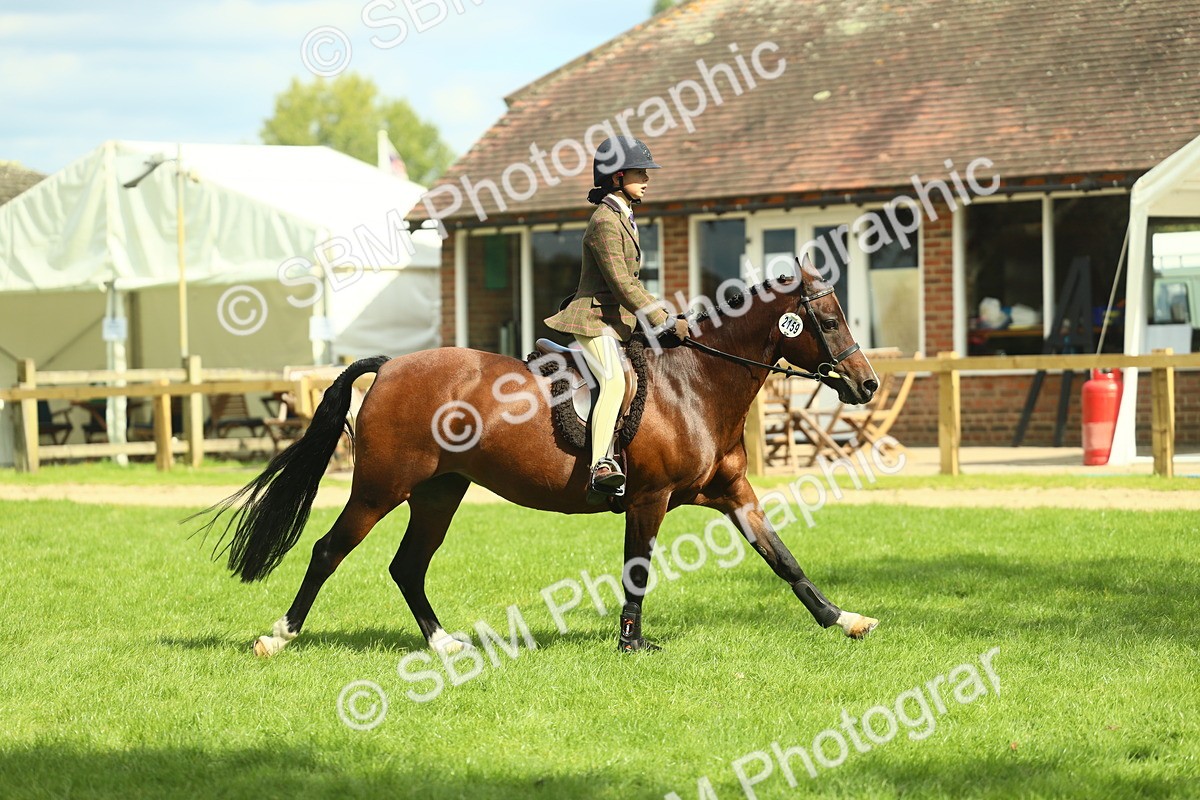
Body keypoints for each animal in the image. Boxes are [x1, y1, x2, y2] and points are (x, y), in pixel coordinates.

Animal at [197, 264, 881, 657]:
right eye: (827, 317)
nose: (868, 385)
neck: (695, 383)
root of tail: (390, 365)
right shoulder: (649, 498)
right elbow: (637, 570)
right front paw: (631, 644)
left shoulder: (734, 493)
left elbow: (785, 560)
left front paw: (843, 619)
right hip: (378, 489)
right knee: (328, 551)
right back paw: (278, 636)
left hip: (440, 493)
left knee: (407, 566)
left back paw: (443, 644)